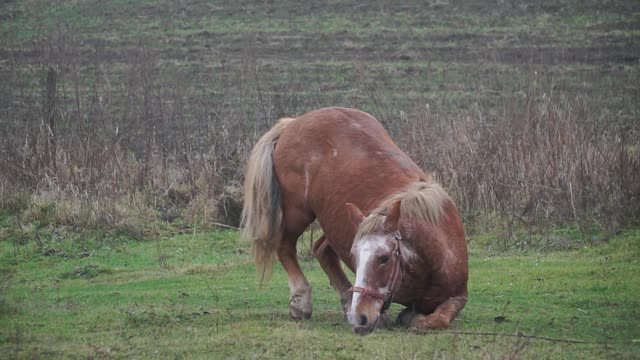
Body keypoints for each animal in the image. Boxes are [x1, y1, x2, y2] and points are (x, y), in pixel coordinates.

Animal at [242, 107, 468, 334]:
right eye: (355, 257)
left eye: (384, 258)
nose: (360, 317)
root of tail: (293, 123)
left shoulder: (458, 296)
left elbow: (438, 319)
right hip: (298, 211)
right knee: (285, 245)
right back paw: (302, 300)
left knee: (321, 249)